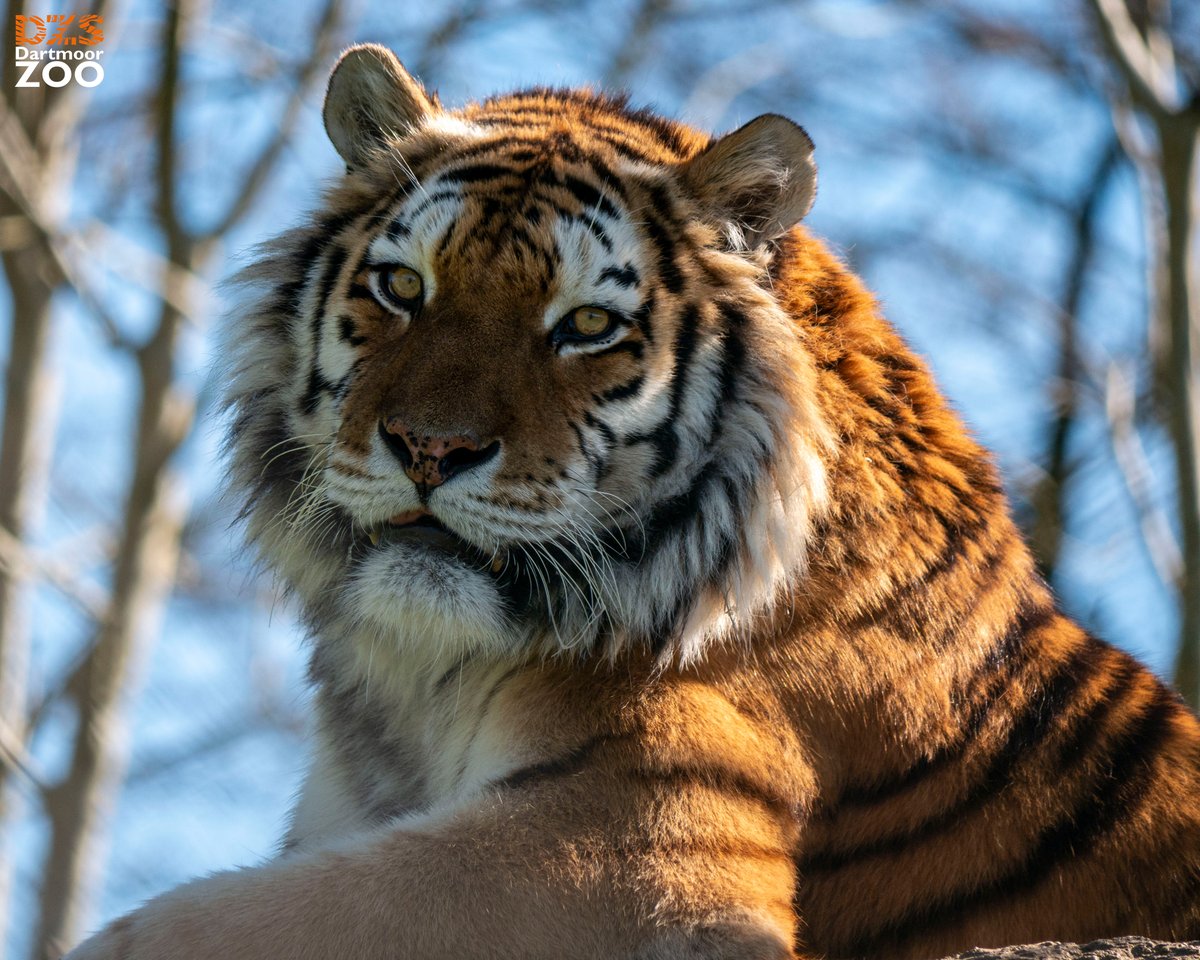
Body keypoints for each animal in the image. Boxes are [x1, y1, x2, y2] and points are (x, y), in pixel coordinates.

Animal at [68, 41, 1200, 960]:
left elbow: (211, 921)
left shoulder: (633, 851)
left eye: (585, 327)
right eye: (403, 288)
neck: (414, 689)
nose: (431, 449)